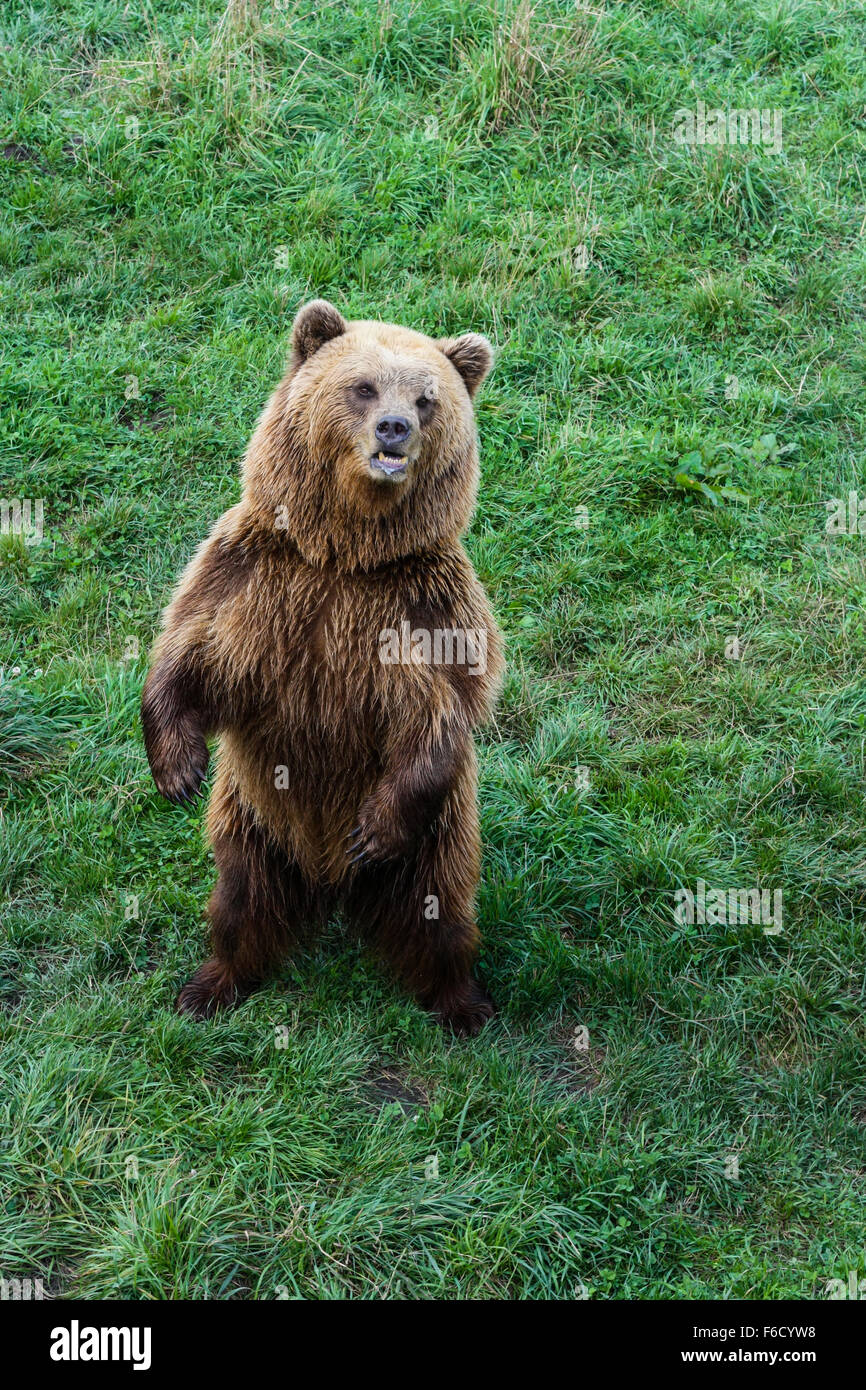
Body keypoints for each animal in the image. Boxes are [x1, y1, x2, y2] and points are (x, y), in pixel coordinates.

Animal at [141, 301, 505, 1034]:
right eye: (363, 387)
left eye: (427, 398)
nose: (394, 428)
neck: (346, 555)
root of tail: (330, 883)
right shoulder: (253, 574)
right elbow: (190, 649)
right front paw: (177, 768)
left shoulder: (427, 606)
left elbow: (448, 708)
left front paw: (376, 830)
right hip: (251, 820)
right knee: (240, 900)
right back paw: (211, 984)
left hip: (439, 838)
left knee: (441, 914)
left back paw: (463, 1002)